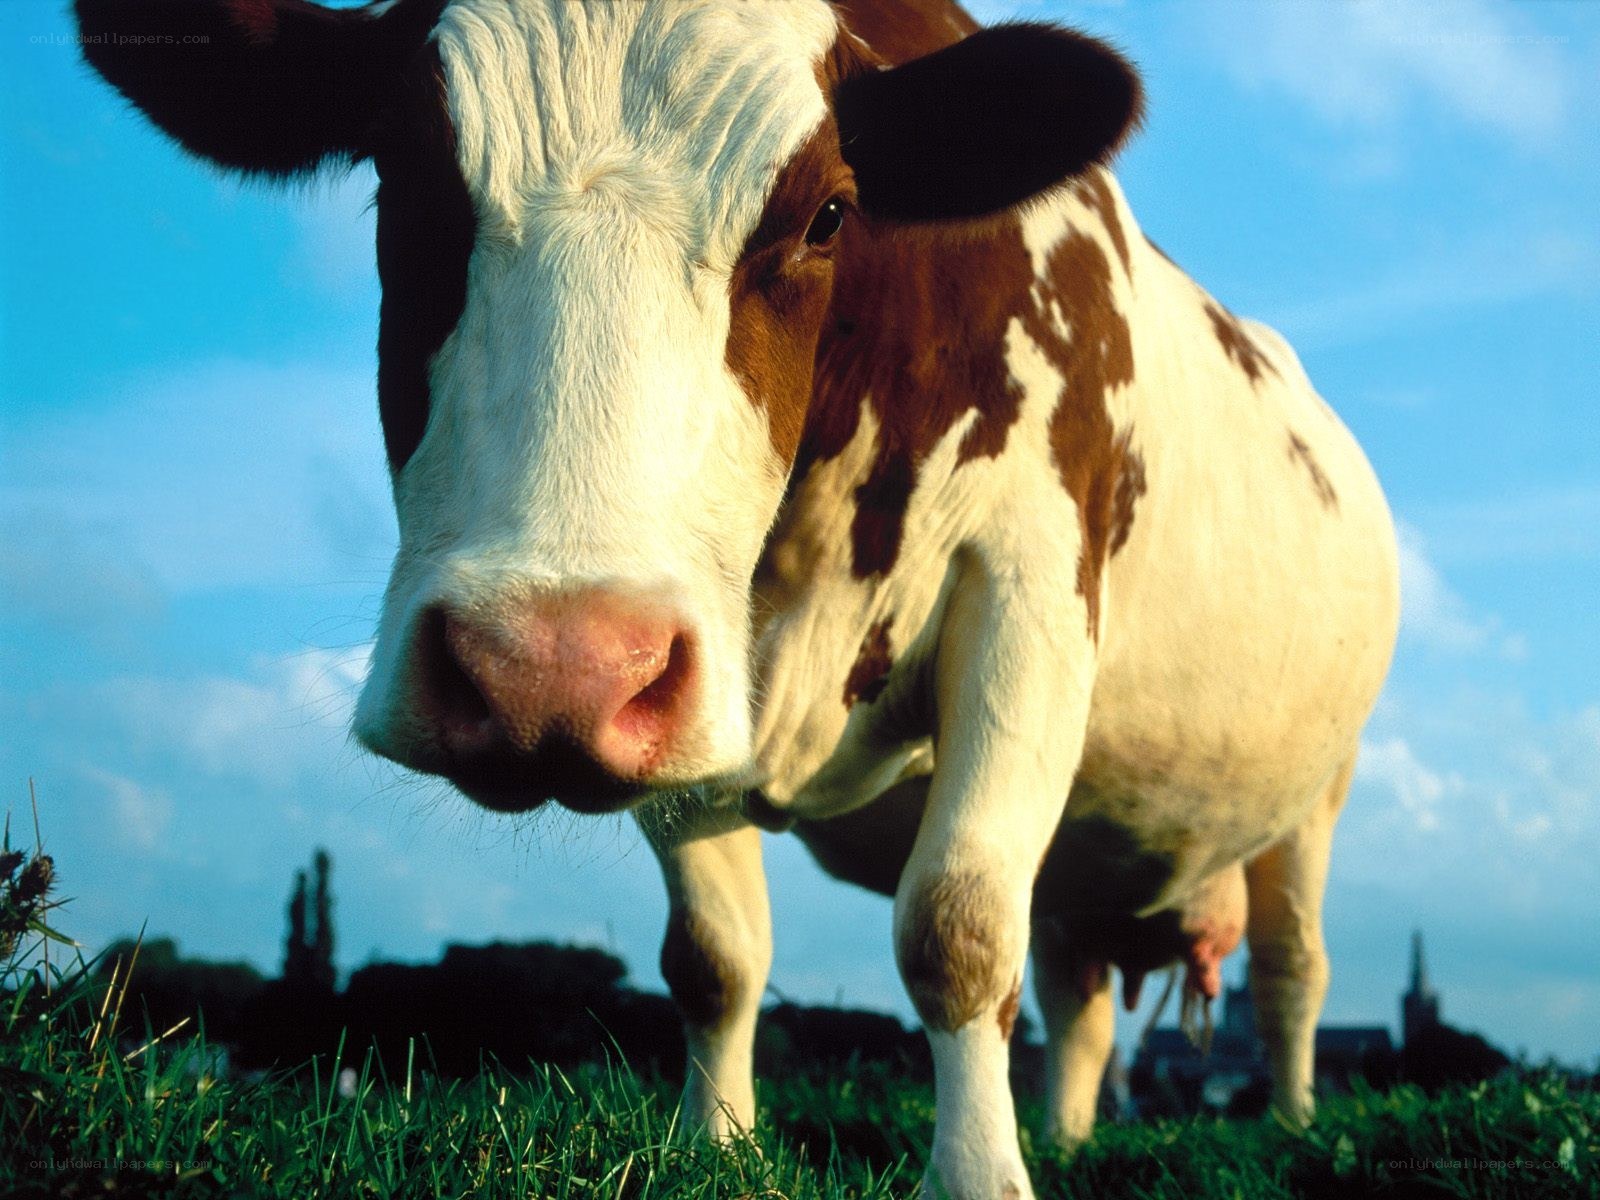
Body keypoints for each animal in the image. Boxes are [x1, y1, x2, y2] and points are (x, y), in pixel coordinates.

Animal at [76, 0, 1400, 1195]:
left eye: (826, 214)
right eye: (404, 183)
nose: (542, 669)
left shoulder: (1028, 592)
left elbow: (959, 923)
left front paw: (979, 1176)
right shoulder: (684, 683)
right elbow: (715, 951)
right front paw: (715, 1144)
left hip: (1320, 794)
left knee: (1292, 967)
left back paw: (1287, 1122)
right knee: (1074, 983)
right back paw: (1069, 1134)